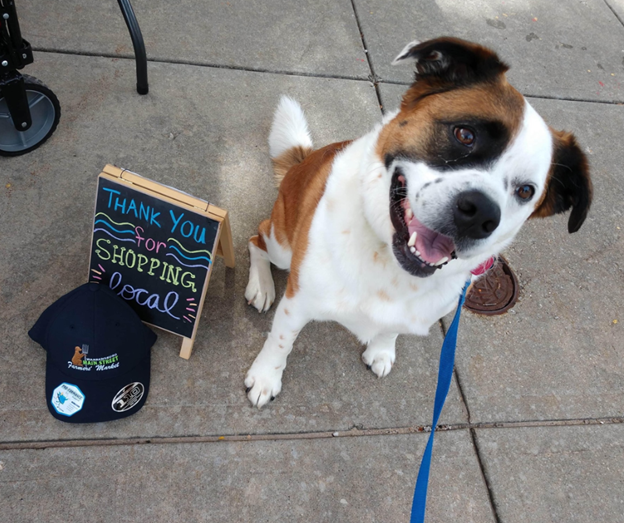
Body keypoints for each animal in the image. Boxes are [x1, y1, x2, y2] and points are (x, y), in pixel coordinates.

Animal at [241, 39, 592, 412]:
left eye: (526, 191)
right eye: (464, 134)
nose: (479, 214)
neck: (391, 265)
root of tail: (303, 160)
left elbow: (391, 329)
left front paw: (381, 349)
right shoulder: (298, 302)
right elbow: (281, 341)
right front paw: (265, 378)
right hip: (281, 243)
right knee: (255, 239)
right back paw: (261, 286)